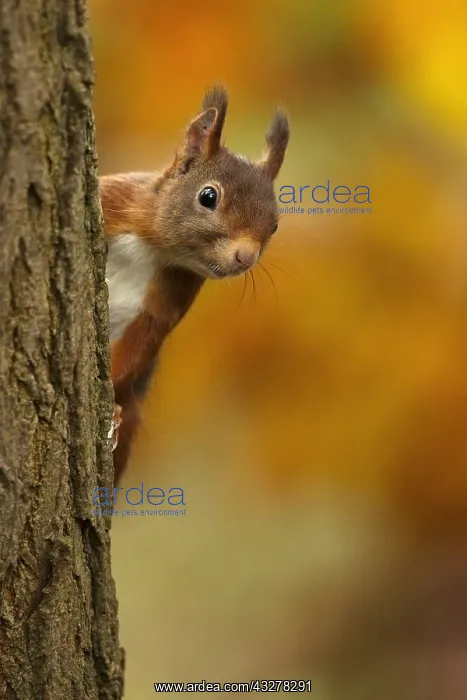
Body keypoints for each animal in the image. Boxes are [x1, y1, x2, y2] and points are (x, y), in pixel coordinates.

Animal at [100, 85, 289, 483]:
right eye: (208, 196)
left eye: (275, 224)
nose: (245, 256)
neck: (154, 248)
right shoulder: (114, 199)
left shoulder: (172, 296)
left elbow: (143, 339)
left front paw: (110, 403)